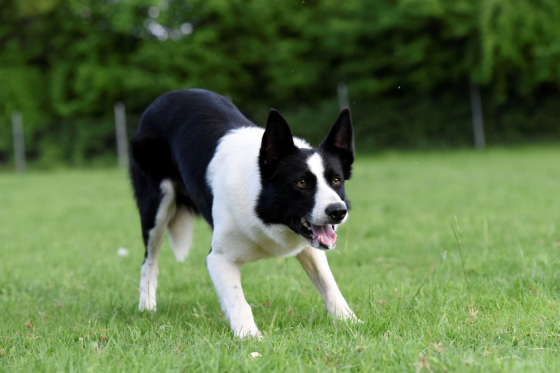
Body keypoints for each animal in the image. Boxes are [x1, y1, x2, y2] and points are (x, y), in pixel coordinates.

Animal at [130, 88, 358, 338]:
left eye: (336, 180)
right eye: (302, 182)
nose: (338, 211)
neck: (265, 211)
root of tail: (167, 96)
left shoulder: (310, 247)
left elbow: (328, 283)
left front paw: (349, 321)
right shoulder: (218, 259)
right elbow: (238, 299)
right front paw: (250, 337)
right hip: (157, 210)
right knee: (149, 263)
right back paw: (146, 308)